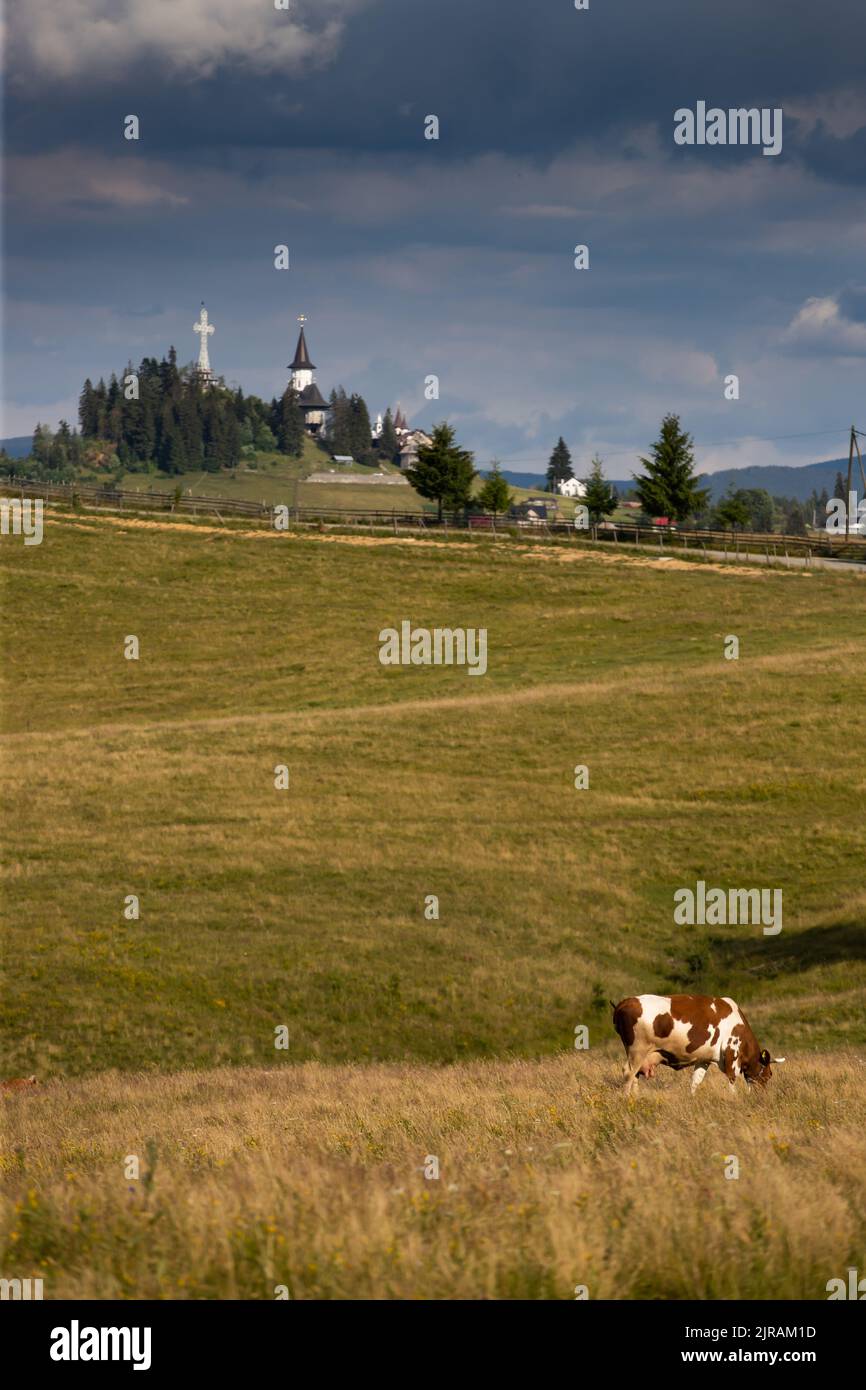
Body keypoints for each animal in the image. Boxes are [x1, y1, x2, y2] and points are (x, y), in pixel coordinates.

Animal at [611, 995, 784, 1097]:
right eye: (769, 1074)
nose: (762, 1096)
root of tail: (624, 1003)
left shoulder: (704, 1059)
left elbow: (696, 1080)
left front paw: (692, 1097)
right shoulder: (731, 1053)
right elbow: (732, 1079)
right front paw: (734, 1098)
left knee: (635, 1075)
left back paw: (636, 1097)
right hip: (637, 1050)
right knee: (628, 1073)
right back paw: (627, 1099)